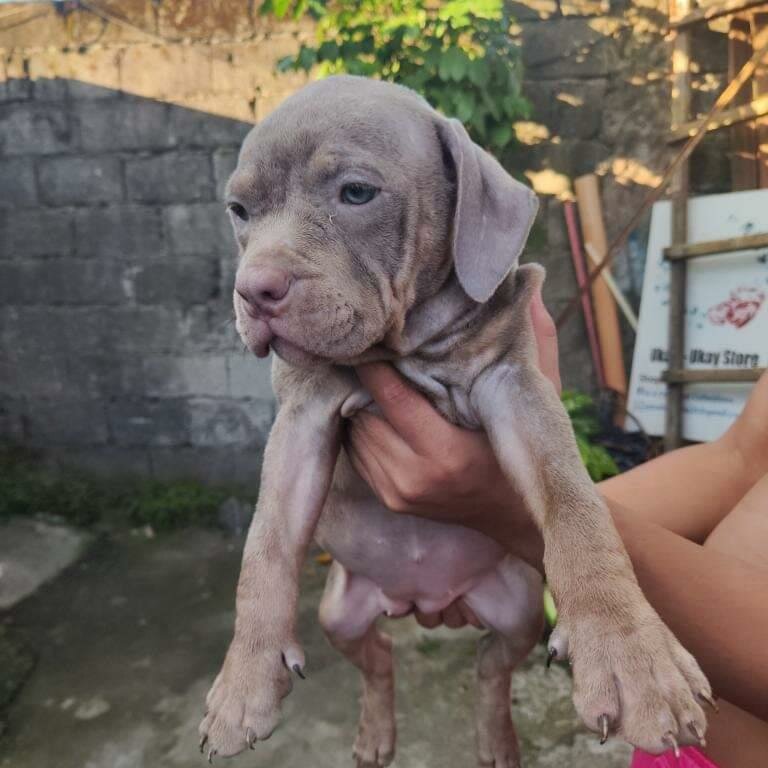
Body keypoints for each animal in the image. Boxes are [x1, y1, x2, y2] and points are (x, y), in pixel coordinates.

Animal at [200, 73, 712, 768]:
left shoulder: (517, 383)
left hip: (521, 607)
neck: (405, 346)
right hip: (340, 613)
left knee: (492, 667)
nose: (254, 291)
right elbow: (266, 545)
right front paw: (243, 679)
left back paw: (497, 741)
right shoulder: (301, 416)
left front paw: (632, 656)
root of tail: (422, 601)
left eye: (356, 193)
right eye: (239, 211)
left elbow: (576, 506)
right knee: (378, 659)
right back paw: (375, 735)